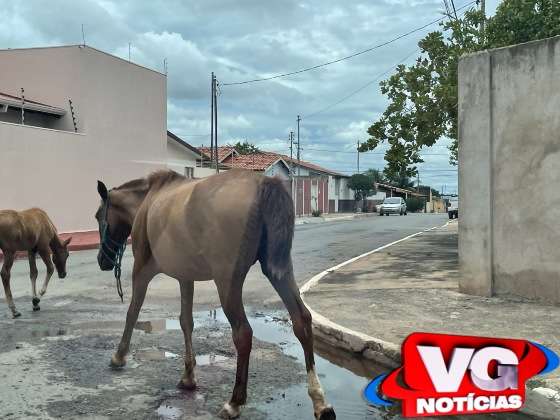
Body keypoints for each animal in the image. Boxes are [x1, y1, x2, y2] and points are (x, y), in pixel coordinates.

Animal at [95, 171, 334, 420]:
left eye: (98, 216)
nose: (102, 260)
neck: (149, 200)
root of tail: (264, 183)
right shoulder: (185, 277)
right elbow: (186, 322)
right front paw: (188, 377)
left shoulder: (141, 270)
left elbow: (133, 312)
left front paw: (119, 356)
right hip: (279, 271)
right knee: (302, 320)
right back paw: (320, 402)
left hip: (227, 282)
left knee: (243, 333)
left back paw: (234, 402)